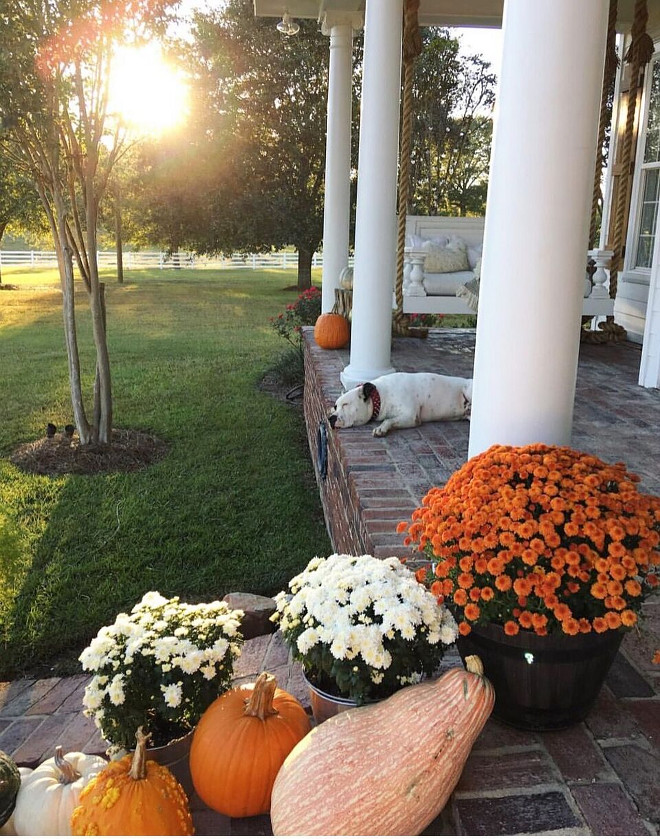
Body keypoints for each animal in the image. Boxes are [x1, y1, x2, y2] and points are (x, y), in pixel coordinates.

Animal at [328, 374, 472, 440]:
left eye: (346, 405)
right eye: (336, 406)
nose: (331, 419)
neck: (380, 396)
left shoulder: (411, 416)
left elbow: (389, 420)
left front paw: (381, 429)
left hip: (468, 389)